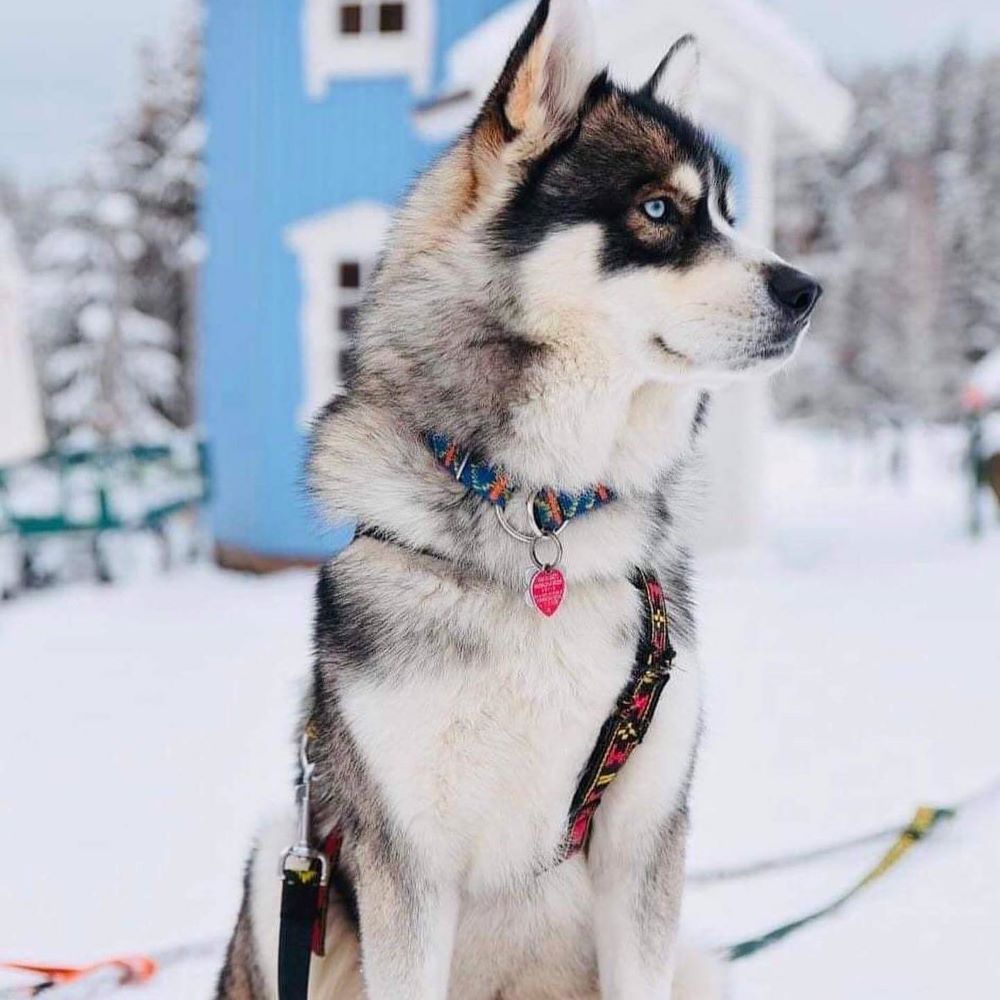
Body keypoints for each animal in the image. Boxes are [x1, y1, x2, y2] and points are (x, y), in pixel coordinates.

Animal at [219, 1, 820, 1000]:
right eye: (659, 210)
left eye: (729, 213)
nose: (809, 289)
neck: (545, 511)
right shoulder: (409, 863)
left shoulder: (643, 844)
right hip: (284, 861)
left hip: (694, 961)